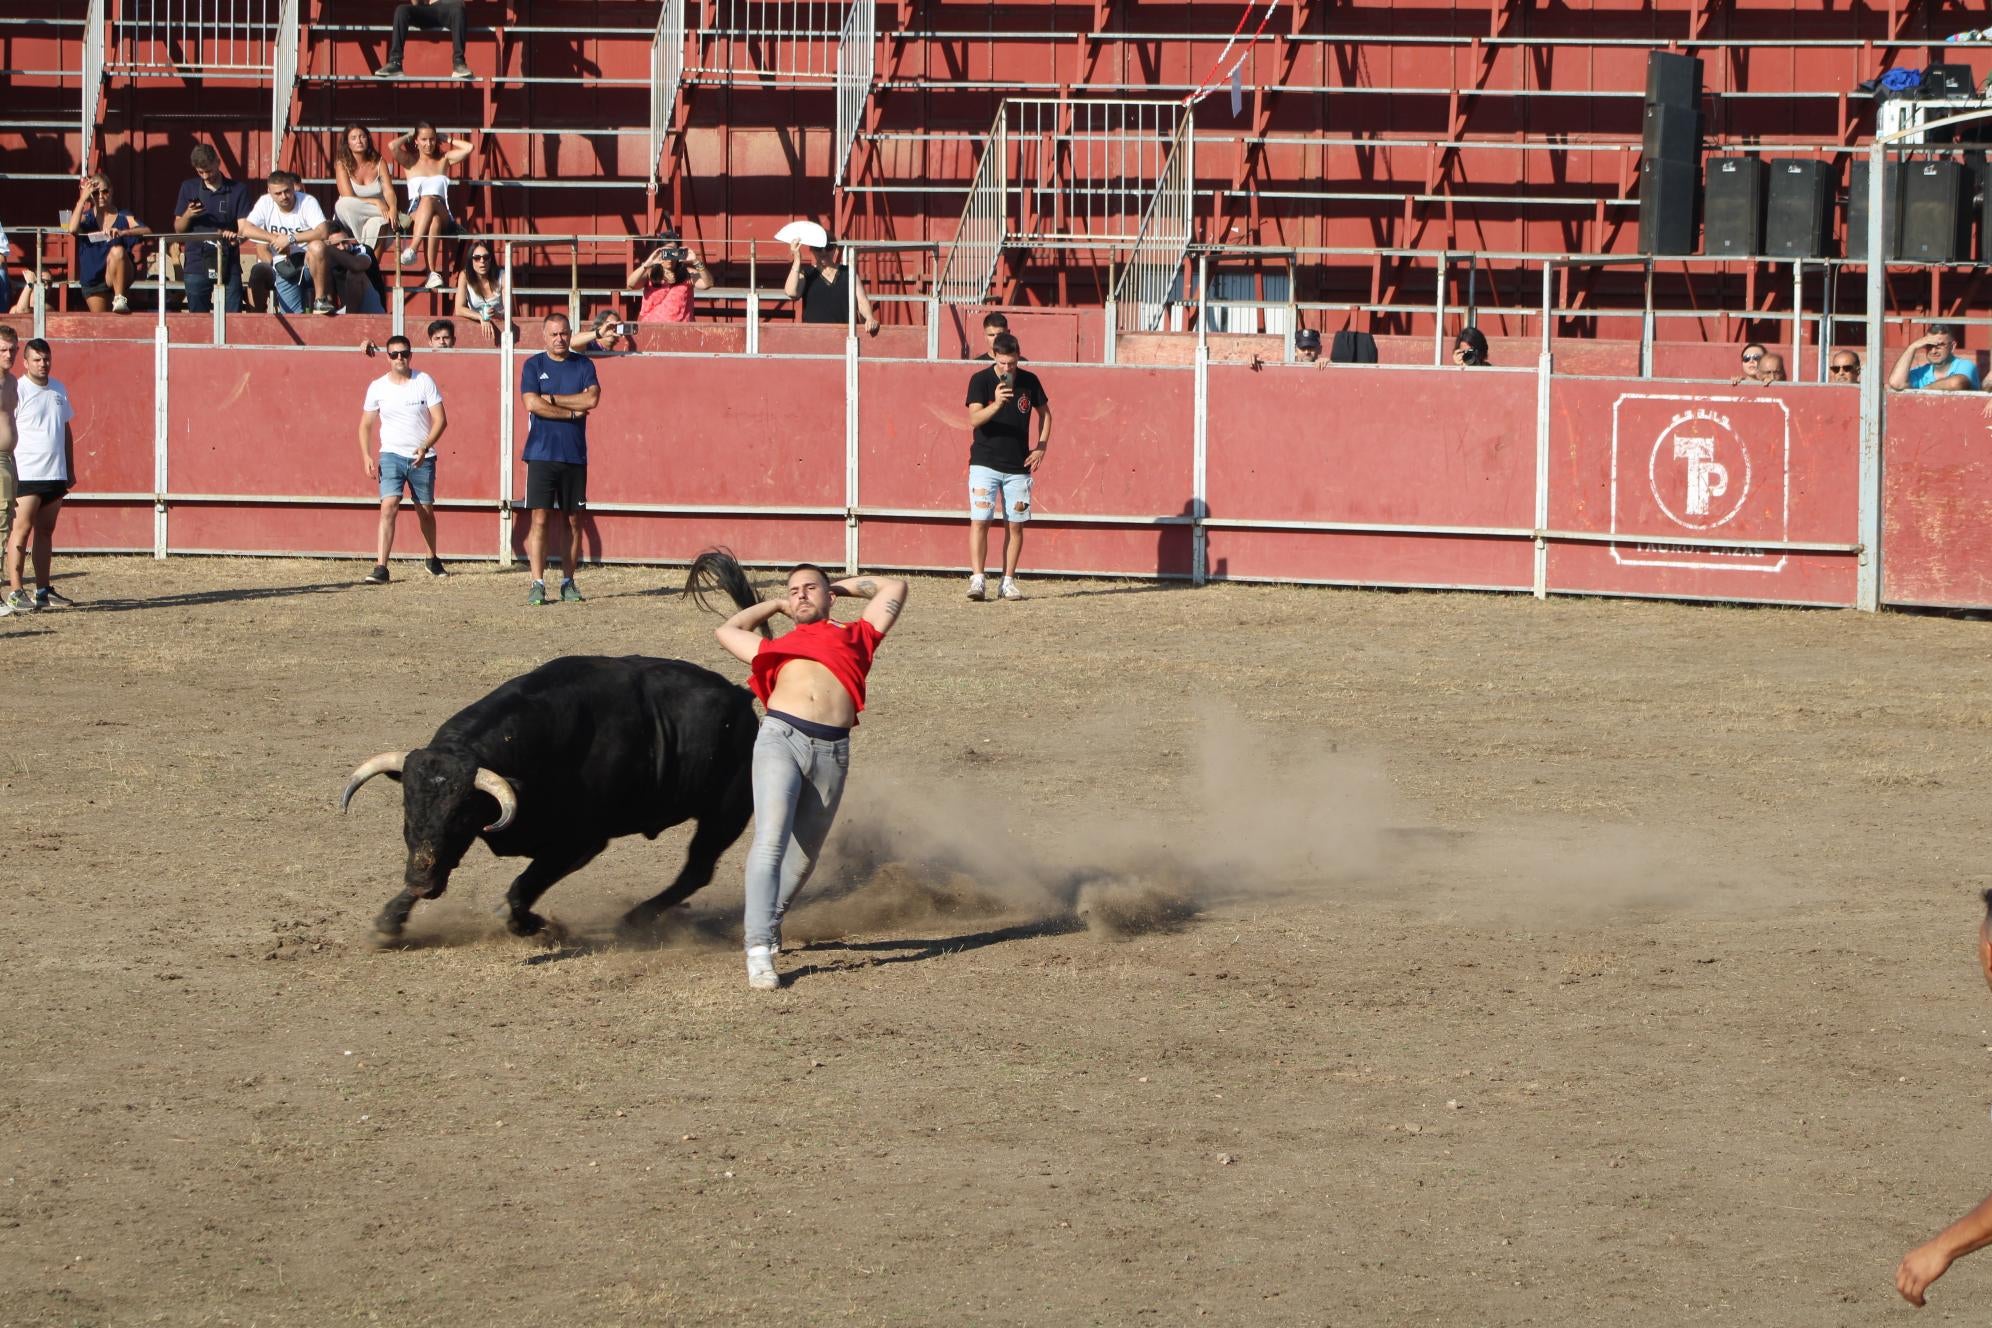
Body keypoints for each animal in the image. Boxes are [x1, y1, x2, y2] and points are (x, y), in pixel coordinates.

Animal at [340, 657, 752, 943]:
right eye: (407, 806)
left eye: (461, 815)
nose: (421, 885)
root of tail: (741, 698)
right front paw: (389, 922)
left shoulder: (580, 842)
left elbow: (523, 885)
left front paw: (534, 925)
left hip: (724, 814)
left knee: (697, 870)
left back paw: (635, 919)